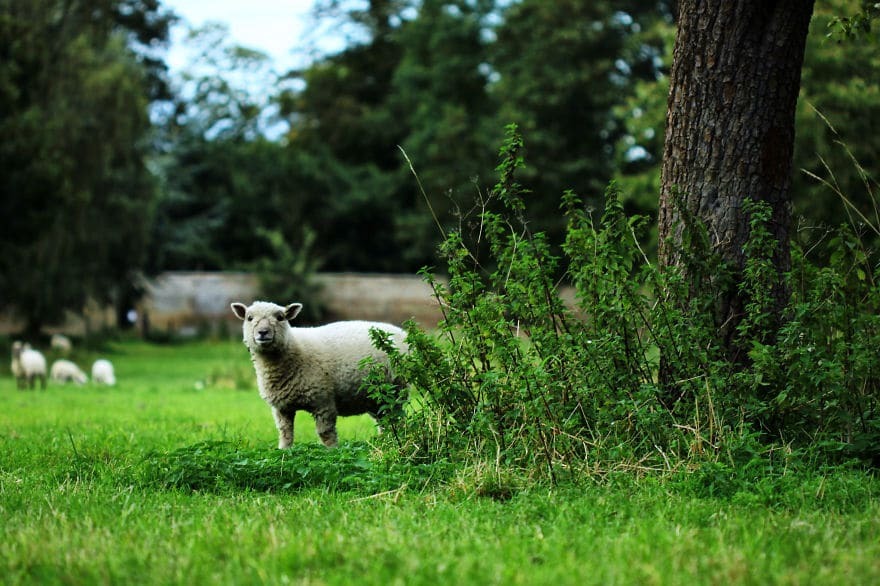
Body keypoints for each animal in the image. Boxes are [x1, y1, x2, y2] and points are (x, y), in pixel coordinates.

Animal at [230, 302, 410, 448]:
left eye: (280, 317)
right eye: (249, 318)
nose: (263, 332)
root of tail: (401, 332)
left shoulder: (323, 402)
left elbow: (326, 434)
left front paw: (333, 452)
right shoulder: (282, 408)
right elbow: (285, 433)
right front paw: (284, 452)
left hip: (395, 391)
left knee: (397, 422)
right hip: (376, 399)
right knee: (385, 423)